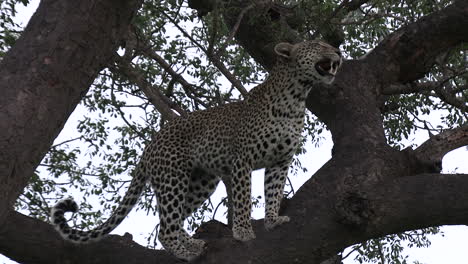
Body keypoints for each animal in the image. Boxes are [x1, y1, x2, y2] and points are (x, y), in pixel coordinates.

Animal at [51, 40, 342, 260]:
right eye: (318, 45)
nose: (339, 54)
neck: (296, 98)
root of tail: (150, 145)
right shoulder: (242, 160)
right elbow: (243, 199)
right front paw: (243, 231)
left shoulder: (281, 160)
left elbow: (273, 191)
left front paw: (272, 219)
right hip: (173, 177)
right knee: (167, 226)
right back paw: (187, 253)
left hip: (202, 182)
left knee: (168, 222)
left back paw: (192, 244)